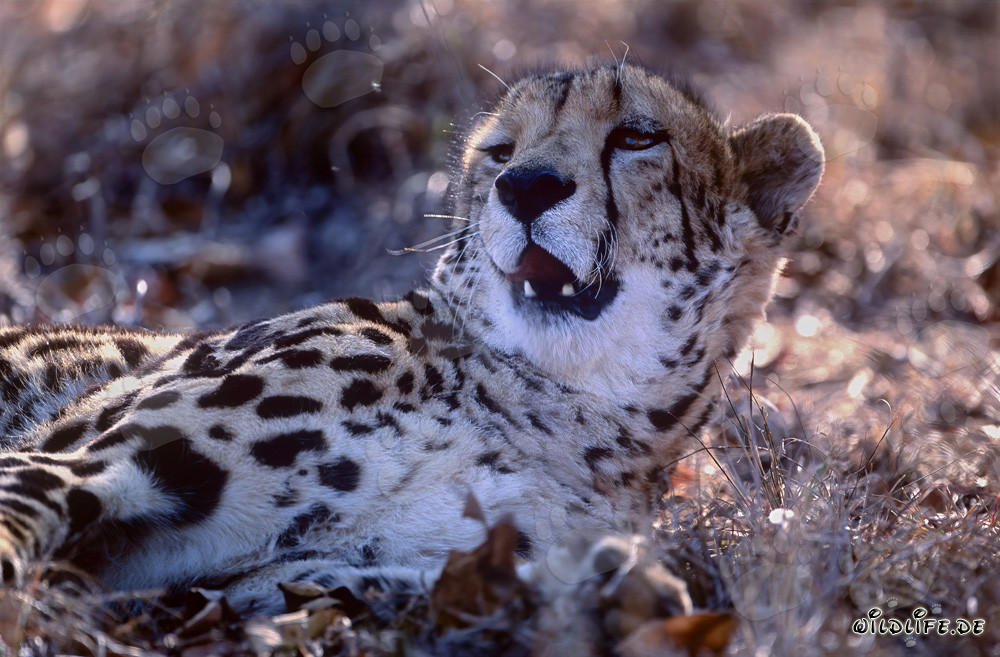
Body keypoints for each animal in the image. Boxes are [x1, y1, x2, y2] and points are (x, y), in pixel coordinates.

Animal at [0, 63, 823, 614]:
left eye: (636, 137)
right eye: (500, 151)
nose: (525, 187)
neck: (565, 408)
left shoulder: (269, 578)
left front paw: (620, 586)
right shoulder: (62, 458)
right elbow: (22, 518)